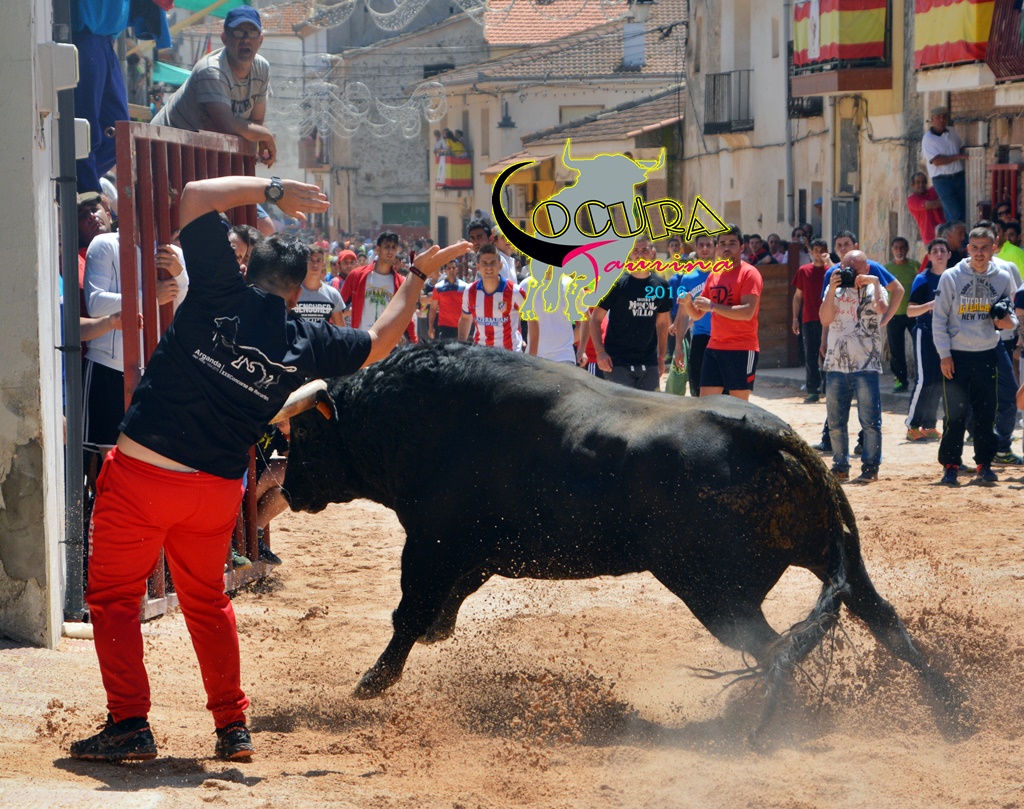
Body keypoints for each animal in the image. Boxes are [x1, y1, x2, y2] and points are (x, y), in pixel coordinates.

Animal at [281, 342, 969, 736]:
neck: (411, 416)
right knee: (884, 624)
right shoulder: (470, 554)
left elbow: (409, 614)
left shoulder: (430, 542)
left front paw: (371, 683)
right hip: (831, 559)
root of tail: (763, 431)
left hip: (714, 591)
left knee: (774, 648)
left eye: (304, 437)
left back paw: (772, 726)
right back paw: (954, 710)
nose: (287, 488)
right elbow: (436, 611)